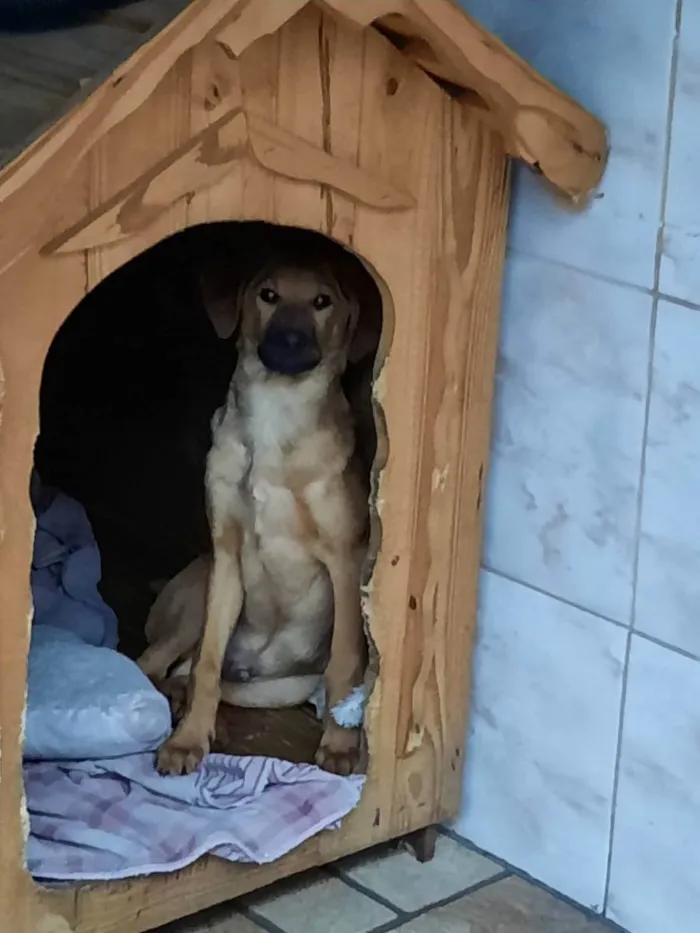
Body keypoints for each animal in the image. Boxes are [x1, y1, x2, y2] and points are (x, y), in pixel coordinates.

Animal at [138, 244, 378, 776]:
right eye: (268, 295)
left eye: (322, 301)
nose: (289, 340)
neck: (277, 414)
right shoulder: (225, 556)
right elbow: (207, 662)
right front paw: (187, 741)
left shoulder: (345, 560)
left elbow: (346, 661)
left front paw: (340, 746)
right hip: (194, 598)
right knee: (154, 667)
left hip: (274, 689)